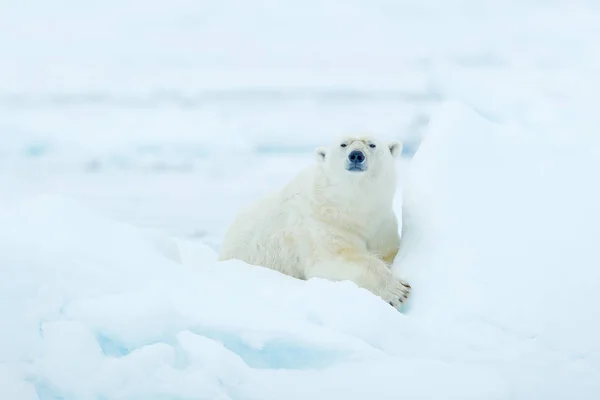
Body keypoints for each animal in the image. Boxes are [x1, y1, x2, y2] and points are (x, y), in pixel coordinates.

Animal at [218, 136, 410, 308]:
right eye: (343, 144)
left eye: (372, 144)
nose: (356, 155)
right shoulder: (322, 225)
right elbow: (334, 260)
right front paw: (398, 291)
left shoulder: (381, 223)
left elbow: (388, 250)